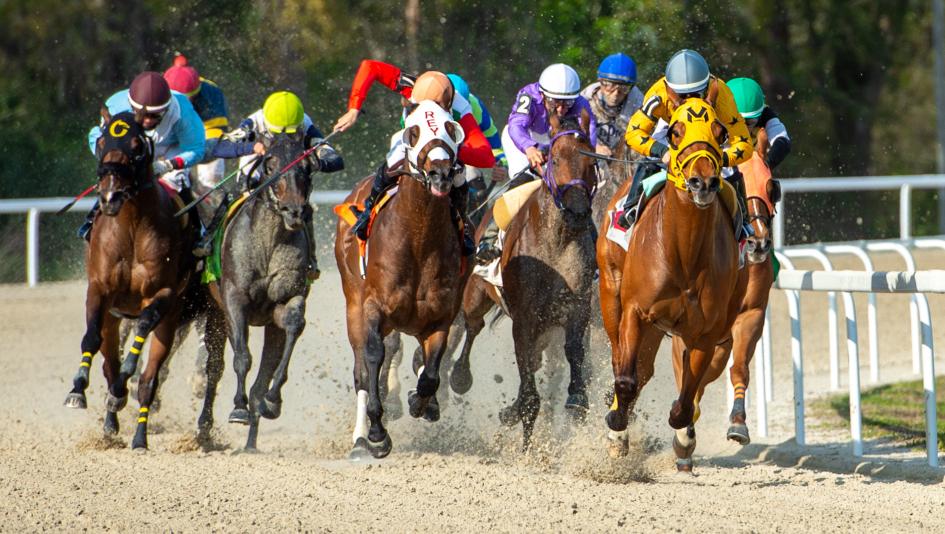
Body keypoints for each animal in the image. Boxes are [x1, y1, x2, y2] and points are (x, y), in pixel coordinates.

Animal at [63, 111, 219, 450]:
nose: (109, 196)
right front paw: (78, 389)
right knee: (110, 362)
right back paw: (111, 421)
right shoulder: (100, 290)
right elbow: (91, 339)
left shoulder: (165, 294)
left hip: (195, 316)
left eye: (136, 146)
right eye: (101, 141)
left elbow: (147, 326)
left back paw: (139, 434)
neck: (133, 227)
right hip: (116, 318)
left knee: (153, 377)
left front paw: (128, 378)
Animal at [208, 131, 317, 451]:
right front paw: (238, 408)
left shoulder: (285, 299)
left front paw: (271, 399)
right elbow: (243, 356)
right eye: (270, 164)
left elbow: (293, 325)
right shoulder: (234, 299)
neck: (268, 243)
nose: (295, 211)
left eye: (307, 166)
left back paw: (252, 440)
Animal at [335, 100, 469, 459]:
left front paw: (422, 402)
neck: (419, 238)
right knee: (360, 373)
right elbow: (373, 359)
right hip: (352, 304)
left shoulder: (440, 317)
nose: (440, 173)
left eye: (451, 127)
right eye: (413, 131)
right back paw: (359, 440)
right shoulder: (373, 309)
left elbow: (431, 371)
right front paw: (377, 433)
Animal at [450, 111, 598, 450]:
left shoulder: (577, 307)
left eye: (591, 162)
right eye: (555, 159)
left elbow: (574, 350)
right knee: (473, 326)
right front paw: (528, 448)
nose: (578, 212)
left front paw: (577, 399)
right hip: (477, 294)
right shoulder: (525, 318)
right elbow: (529, 388)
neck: (558, 239)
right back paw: (460, 377)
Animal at [597, 99, 746, 471]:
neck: (684, 253)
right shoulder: (636, 312)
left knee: (649, 371)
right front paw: (617, 427)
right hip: (611, 298)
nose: (702, 182)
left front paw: (684, 437)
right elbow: (625, 380)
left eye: (720, 132)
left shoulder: (706, 333)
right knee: (624, 363)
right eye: (676, 132)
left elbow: (686, 397)